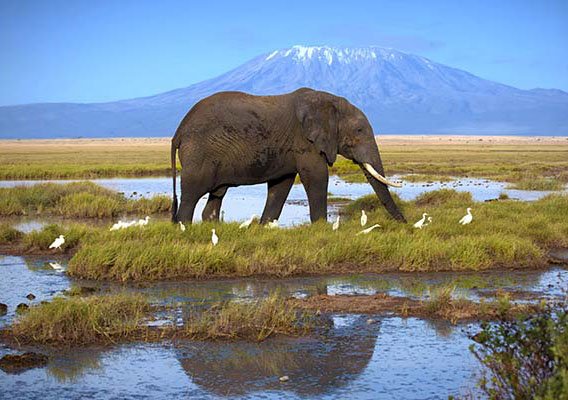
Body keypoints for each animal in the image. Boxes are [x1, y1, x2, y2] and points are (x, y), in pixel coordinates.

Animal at [171, 87, 406, 223]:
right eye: (359, 130)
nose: (404, 225)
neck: (329, 101)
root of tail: (179, 131)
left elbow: (281, 185)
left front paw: (265, 226)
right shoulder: (304, 141)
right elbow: (317, 176)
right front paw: (321, 228)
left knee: (217, 195)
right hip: (199, 153)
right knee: (191, 194)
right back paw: (184, 228)